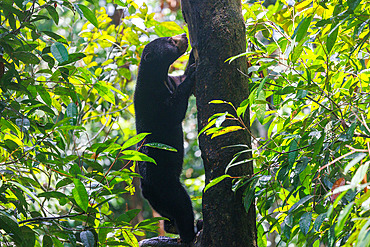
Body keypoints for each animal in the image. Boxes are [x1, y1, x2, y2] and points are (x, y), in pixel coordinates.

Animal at [134, 33, 197, 243]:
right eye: (170, 40)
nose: (184, 35)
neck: (158, 78)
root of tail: (146, 191)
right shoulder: (151, 101)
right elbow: (174, 113)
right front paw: (193, 71)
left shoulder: (171, 80)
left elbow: (181, 78)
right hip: (168, 186)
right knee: (183, 207)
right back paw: (191, 234)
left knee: (171, 216)